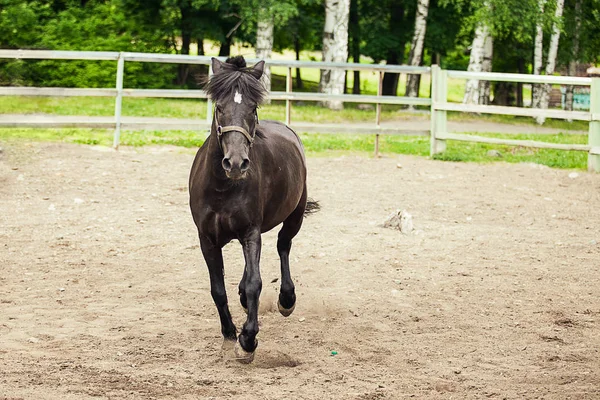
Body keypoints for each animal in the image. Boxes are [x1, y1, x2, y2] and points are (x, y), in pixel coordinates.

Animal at [189, 55, 318, 362]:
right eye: (219, 108)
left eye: (253, 108)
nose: (236, 163)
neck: (222, 188)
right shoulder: (207, 239)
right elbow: (218, 289)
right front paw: (229, 334)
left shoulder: (250, 232)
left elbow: (254, 284)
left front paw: (247, 340)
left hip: (294, 217)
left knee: (283, 246)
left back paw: (286, 299)